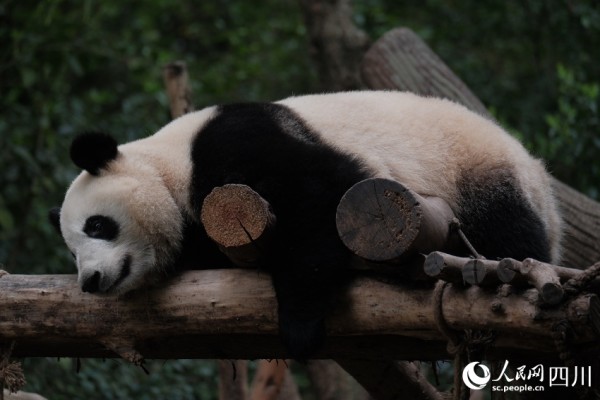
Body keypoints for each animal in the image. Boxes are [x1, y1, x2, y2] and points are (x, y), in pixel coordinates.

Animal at [50, 90, 564, 360]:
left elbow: (321, 197)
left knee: (509, 231)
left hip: (478, 175)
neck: (169, 164)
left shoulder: (235, 145)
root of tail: (540, 175)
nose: (90, 280)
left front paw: (298, 326)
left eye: (98, 226)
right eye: (72, 252)